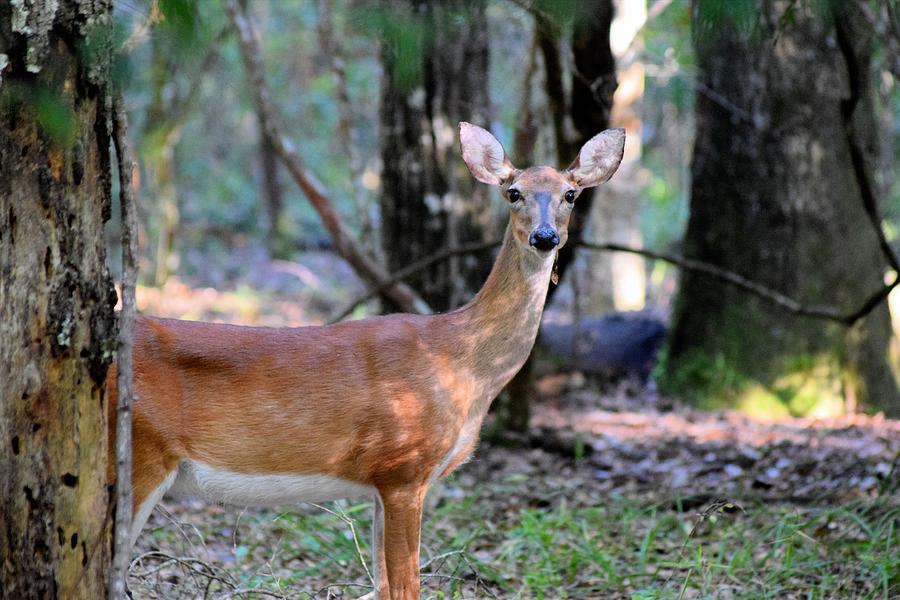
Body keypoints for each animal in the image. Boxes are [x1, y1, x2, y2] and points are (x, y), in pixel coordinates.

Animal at [107, 123, 624, 600]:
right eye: (513, 192)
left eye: (571, 194)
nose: (544, 237)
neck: (460, 363)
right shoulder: (403, 467)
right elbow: (407, 588)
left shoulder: (382, 482)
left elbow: (382, 586)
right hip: (138, 454)